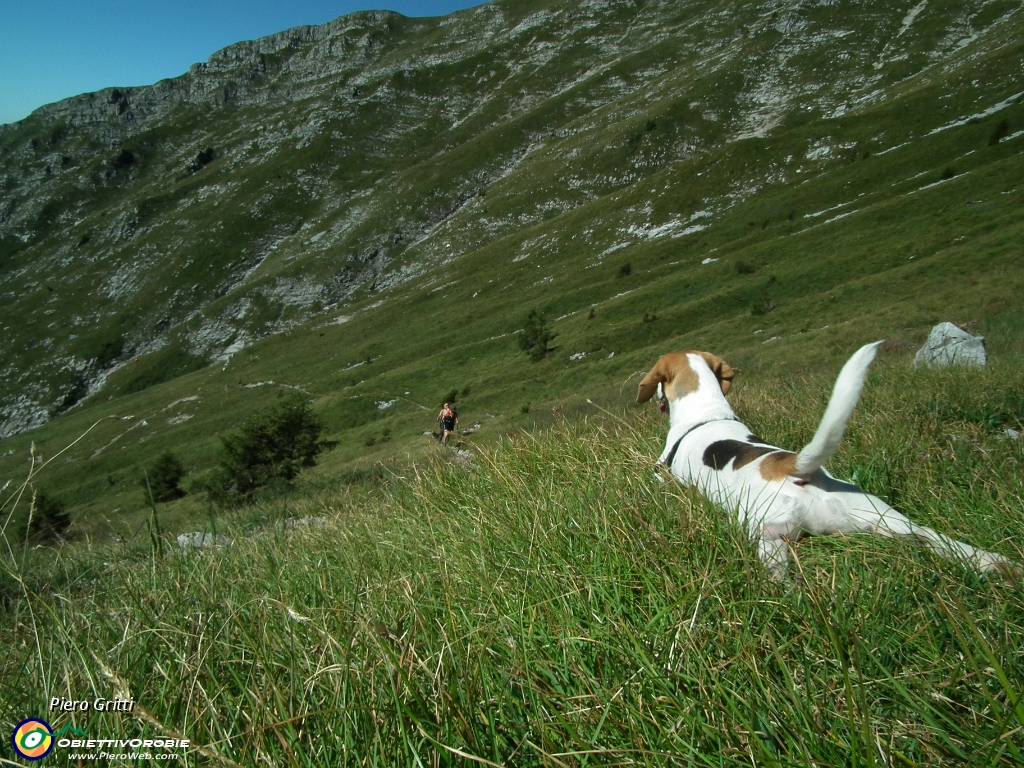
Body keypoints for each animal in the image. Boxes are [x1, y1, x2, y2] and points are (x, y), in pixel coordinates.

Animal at [634, 344, 1019, 581]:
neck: (709, 412)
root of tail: (796, 467)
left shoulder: (661, 475)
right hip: (886, 518)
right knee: (934, 538)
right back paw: (998, 564)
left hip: (766, 533)